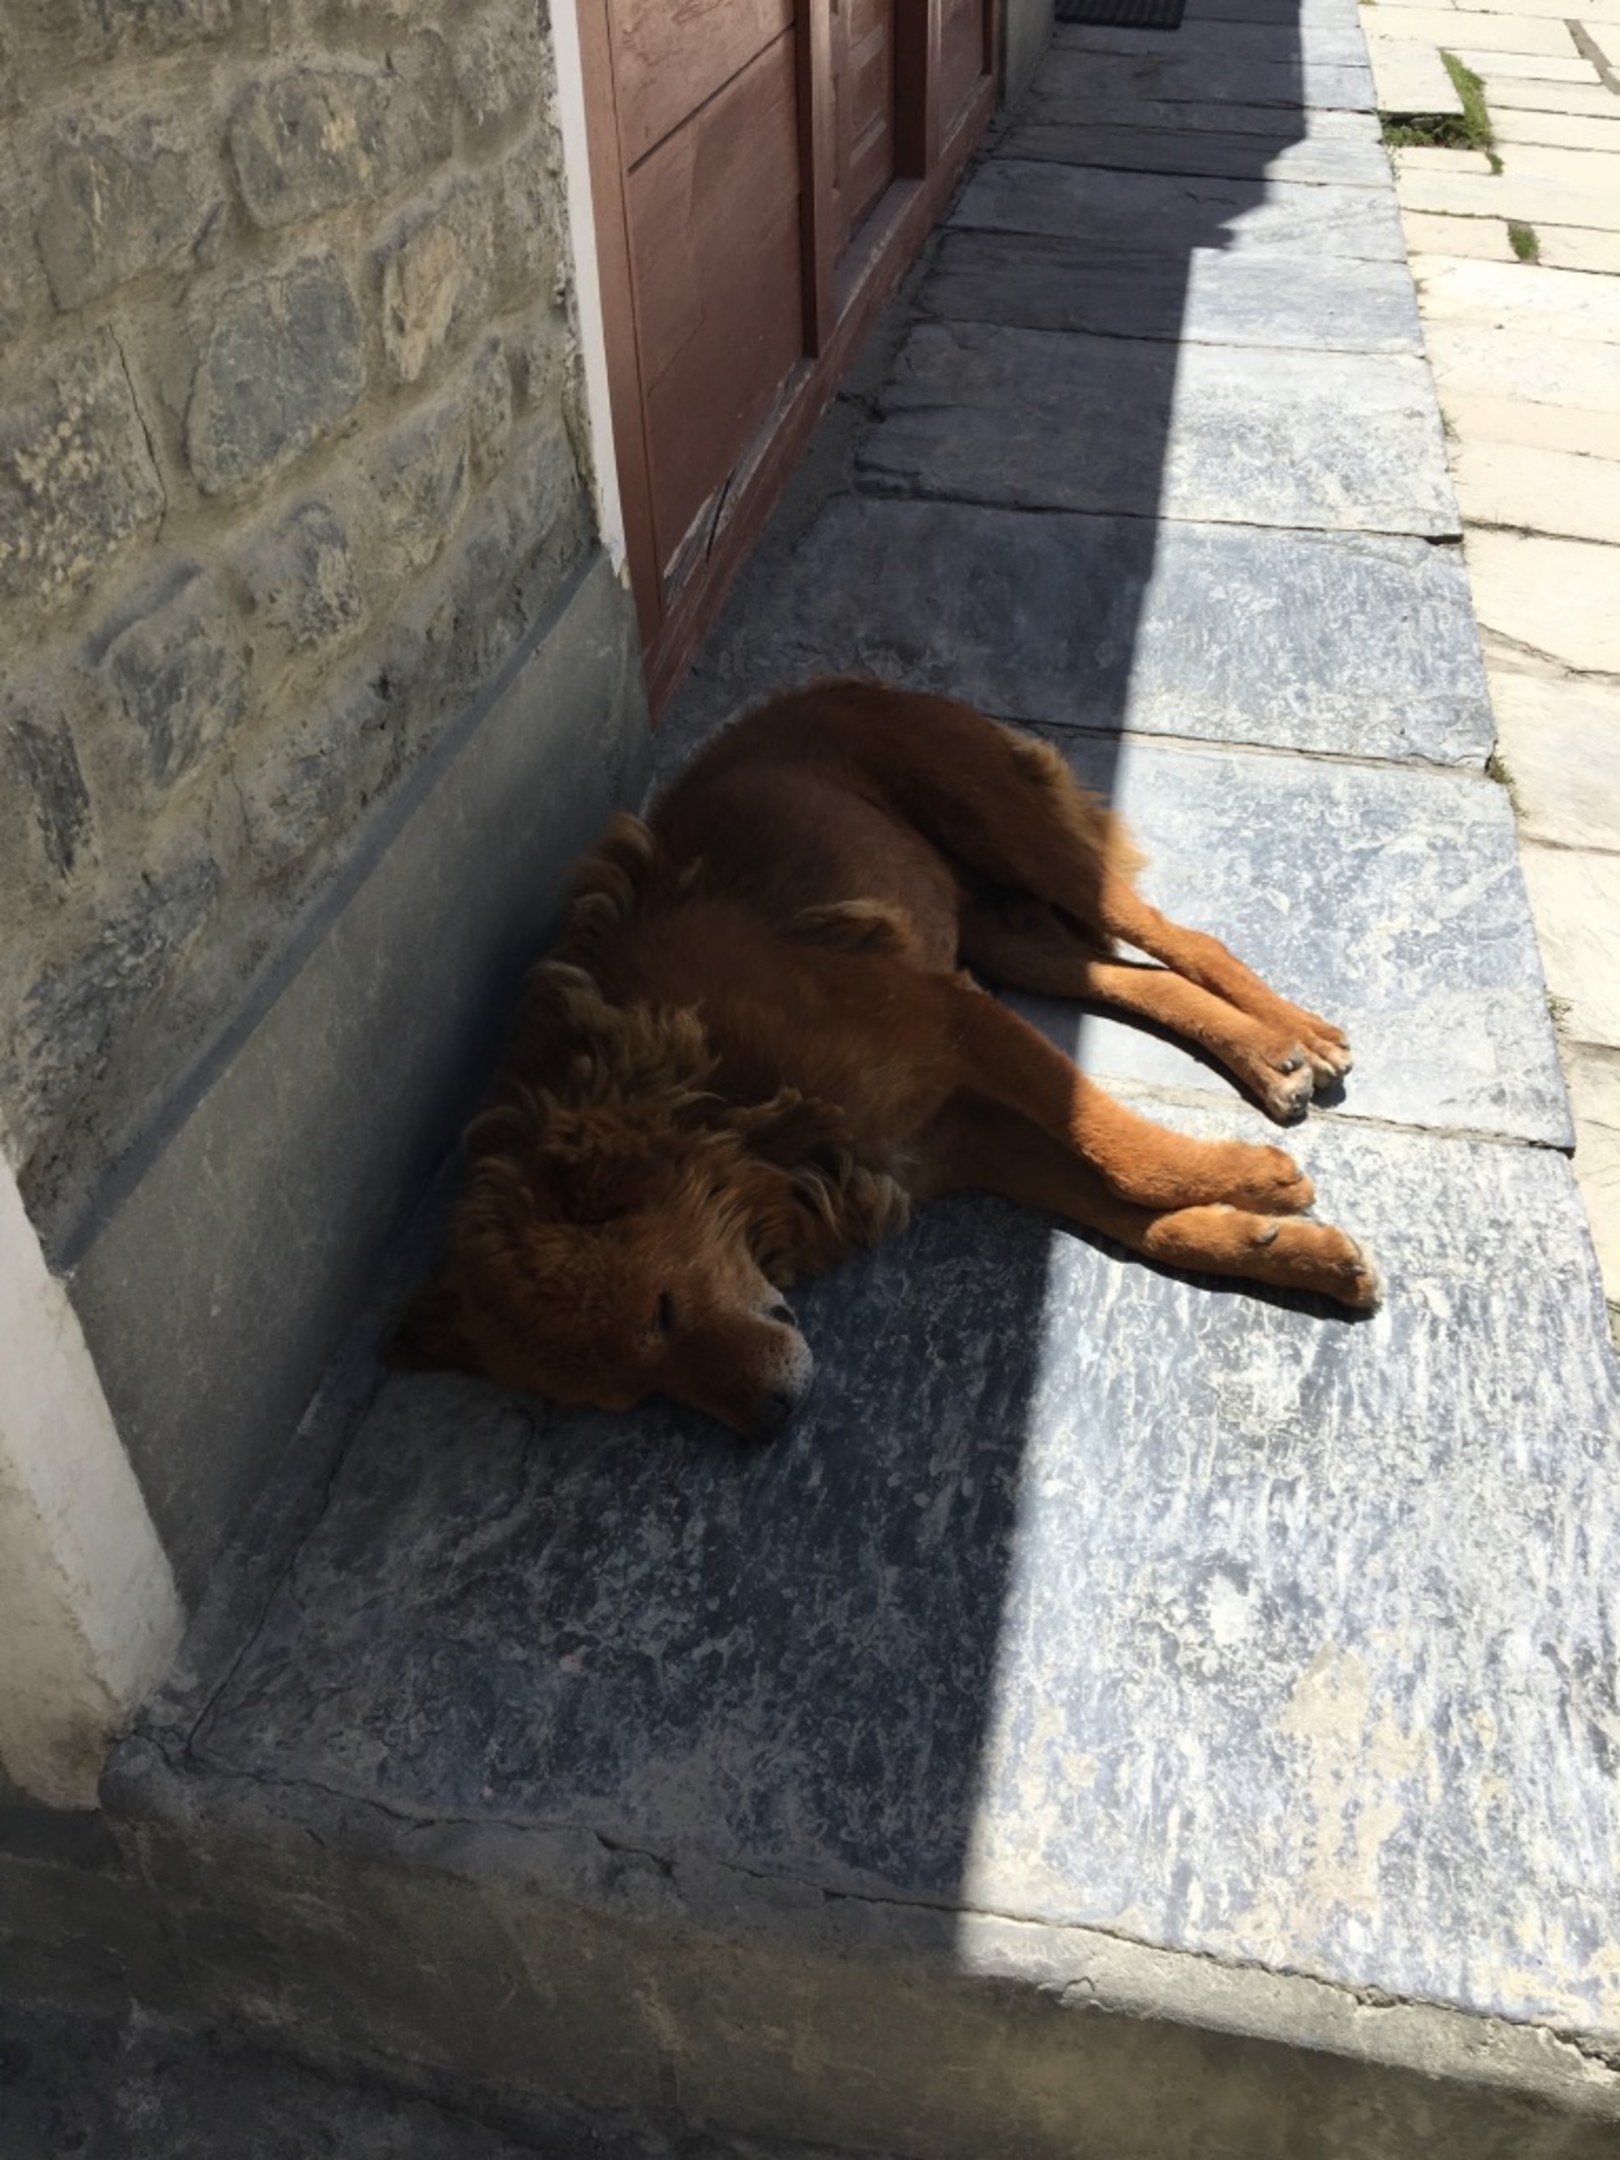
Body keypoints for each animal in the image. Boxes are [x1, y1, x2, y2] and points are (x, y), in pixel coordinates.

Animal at [387, 680, 1379, 1438]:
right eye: (633, 1395)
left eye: (662, 1312)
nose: (771, 1423)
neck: (717, 1105)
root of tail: (850, 679)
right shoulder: (959, 1143)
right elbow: (1134, 1219)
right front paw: (1289, 1250)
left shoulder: (948, 1019)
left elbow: (1116, 1150)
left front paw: (1259, 1181)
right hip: (992, 928)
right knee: (1120, 975)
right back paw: (1265, 1056)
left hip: (1012, 834)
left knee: (1183, 938)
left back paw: (1289, 1037)